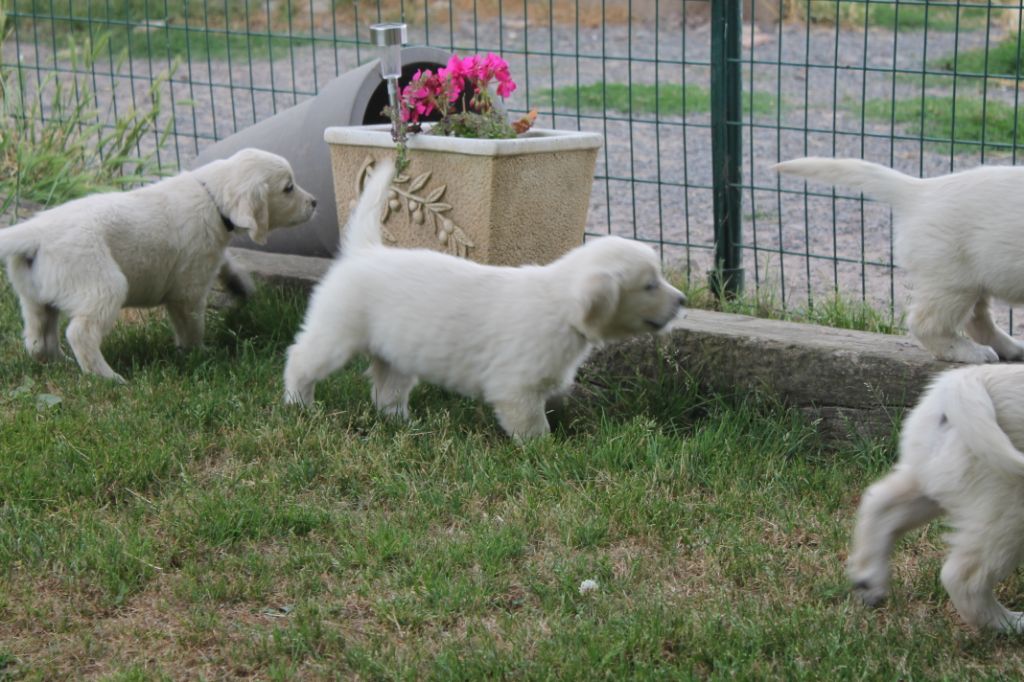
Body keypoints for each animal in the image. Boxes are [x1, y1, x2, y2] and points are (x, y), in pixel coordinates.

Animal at [0, 146, 315, 378]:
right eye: (288, 188)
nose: (314, 203)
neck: (211, 196)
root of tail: (36, 232)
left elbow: (228, 265)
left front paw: (240, 284)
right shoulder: (189, 288)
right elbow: (191, 325)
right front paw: (198, 353)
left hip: (34, 296)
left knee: (38, 338)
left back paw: (58, 363)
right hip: (103, 283)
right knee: (80, 333)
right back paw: (107, 377)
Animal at [280, 156, 688, 438]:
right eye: (649, 285)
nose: (683, 301)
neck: (560, 306)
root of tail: (365, 251)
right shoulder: (516, 389)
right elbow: (534, 428)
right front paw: (546, 450)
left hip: (395, 352)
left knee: (387, 388)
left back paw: (402, 422)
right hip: (335, 335)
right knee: (301, 358)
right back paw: (299, 405)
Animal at [774, 157, 1024, 364]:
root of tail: (922, 190)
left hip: (974, 276)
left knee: (977, 319)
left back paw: (1010, 348)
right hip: (952, 279)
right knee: (926, 324)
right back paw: (970, 352)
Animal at [847, 364, 1024, 630]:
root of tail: (964, 380)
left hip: (940, 475)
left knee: (881, 503)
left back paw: (870, 579)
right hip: (1007, 502)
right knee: (963, 577)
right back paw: (1010, 624)